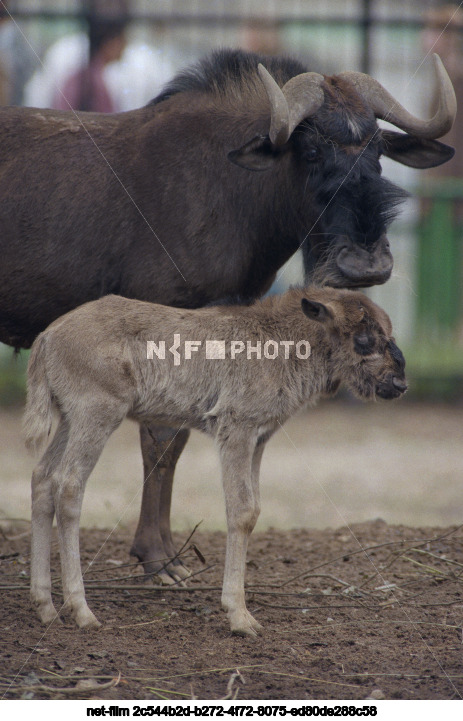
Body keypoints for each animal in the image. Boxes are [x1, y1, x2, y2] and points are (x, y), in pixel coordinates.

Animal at [25, 286, 408, 636]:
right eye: (363, 339)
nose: (399, 382)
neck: (281, 343)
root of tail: (46, 338)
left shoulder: (259, 438)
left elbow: (254, 509)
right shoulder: (236, 429)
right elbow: (241, 511)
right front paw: (239, 615)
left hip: (69, 417)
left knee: (42, 478)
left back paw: (45, 606)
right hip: (97, 413)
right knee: (68, 485)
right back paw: (80, 610)